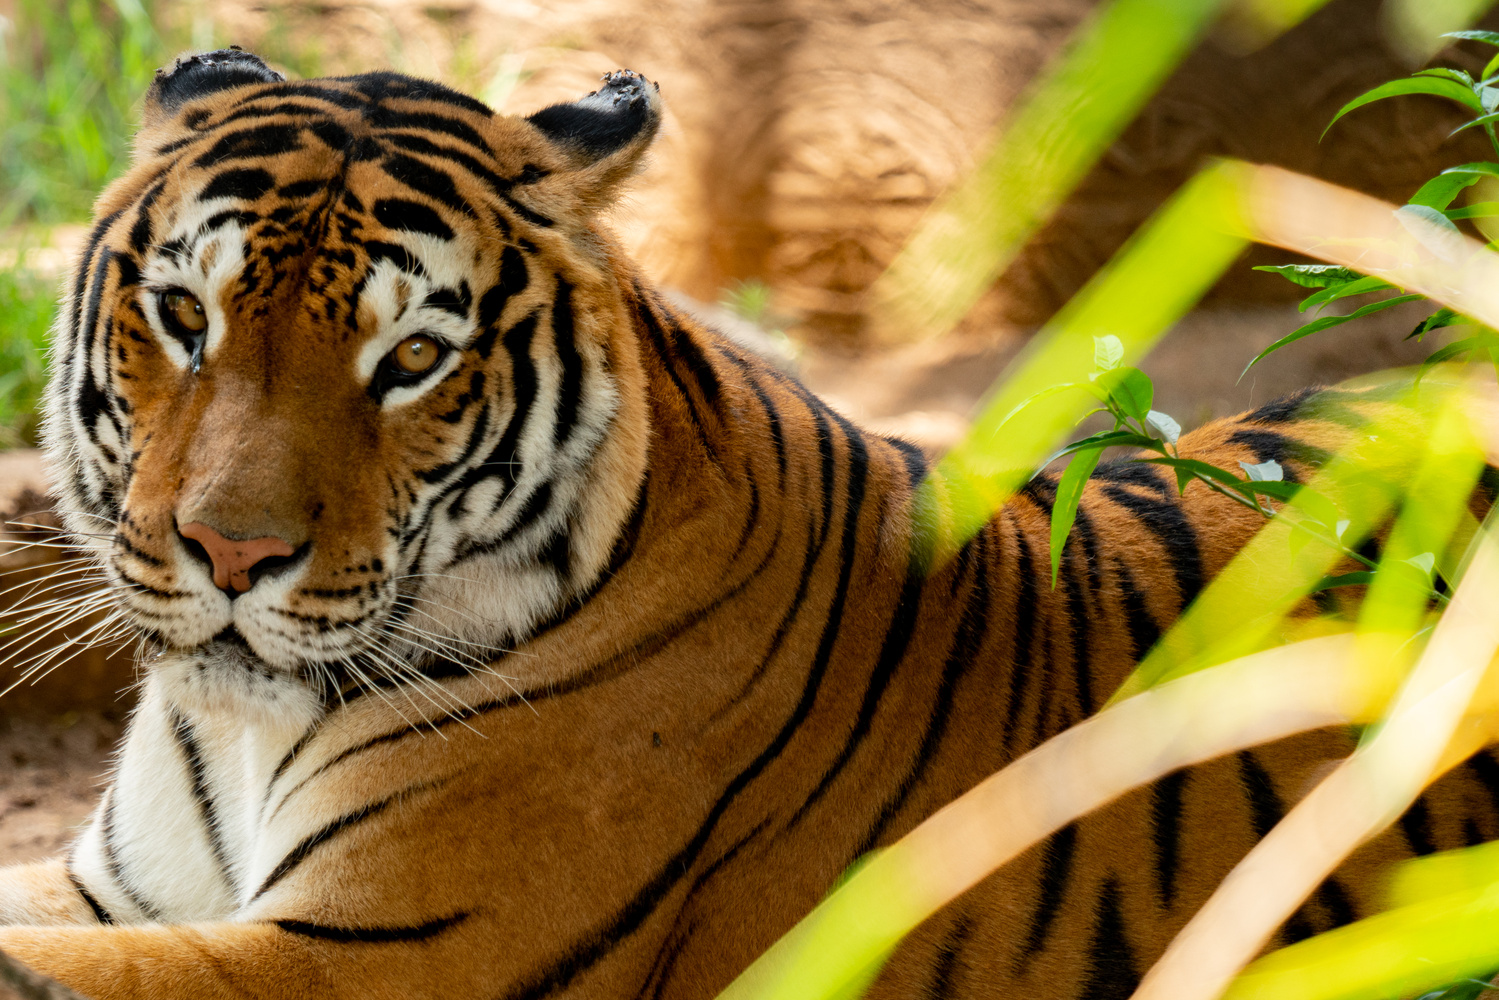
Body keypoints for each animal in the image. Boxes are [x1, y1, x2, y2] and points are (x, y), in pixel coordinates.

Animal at [0, 45, 1496, 1000]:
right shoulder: (125, 892)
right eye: (182, 317)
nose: (233, 554)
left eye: (411, 359)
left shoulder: (391, 952)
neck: (245, 730)